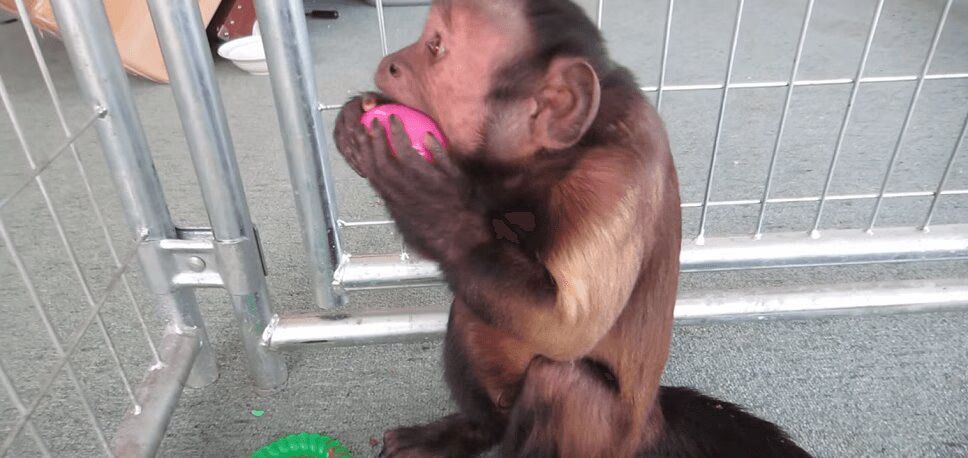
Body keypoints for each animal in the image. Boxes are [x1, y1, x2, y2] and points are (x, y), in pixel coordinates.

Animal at [333, 1, 811, 456]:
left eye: (435, 46)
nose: (391, 63)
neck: (569, 149)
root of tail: (652, 420)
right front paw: (352, 126)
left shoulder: (612, 180)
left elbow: (567, 327)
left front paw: (425, 197)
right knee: (475, 305)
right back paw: (474, 430)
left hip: (607, 439)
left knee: (559, 381)